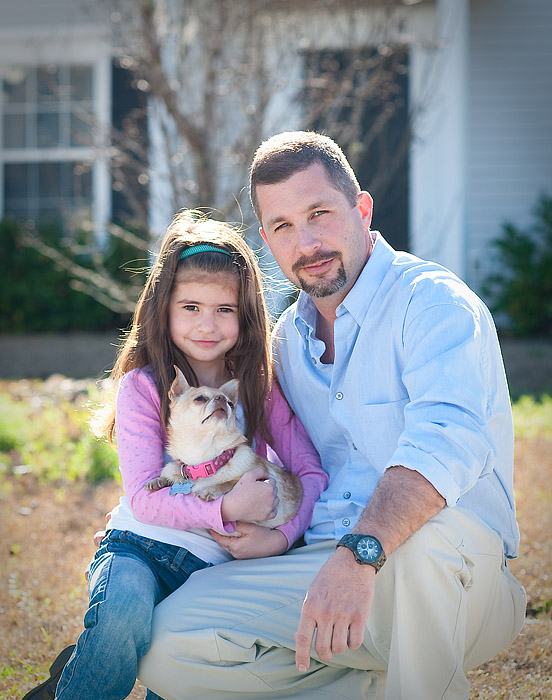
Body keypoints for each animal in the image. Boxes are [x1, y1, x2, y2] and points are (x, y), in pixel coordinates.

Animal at [147, 370, 302, 528]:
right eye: (200, 398)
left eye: (231, 404)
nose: (222, 398)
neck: (205, 460)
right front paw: (160, 480)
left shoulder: (264, 484)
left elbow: (230, 483)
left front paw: (210, 489)